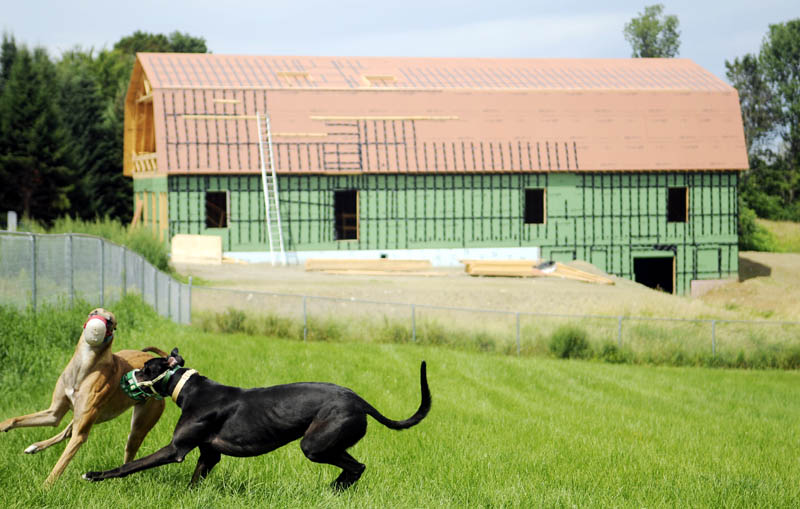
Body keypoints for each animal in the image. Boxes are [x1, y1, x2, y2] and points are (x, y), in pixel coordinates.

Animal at [82, 348, 432, 486]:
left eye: (145, 368)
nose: (126, 378)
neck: (190, 389)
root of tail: (360, 401)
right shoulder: (209, 455)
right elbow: (196, 479)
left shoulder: (175, 450)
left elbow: (129, 466)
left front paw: (95, 475)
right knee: (354, 468)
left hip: (316, 443)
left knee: (356, 467)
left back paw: (334, 489)